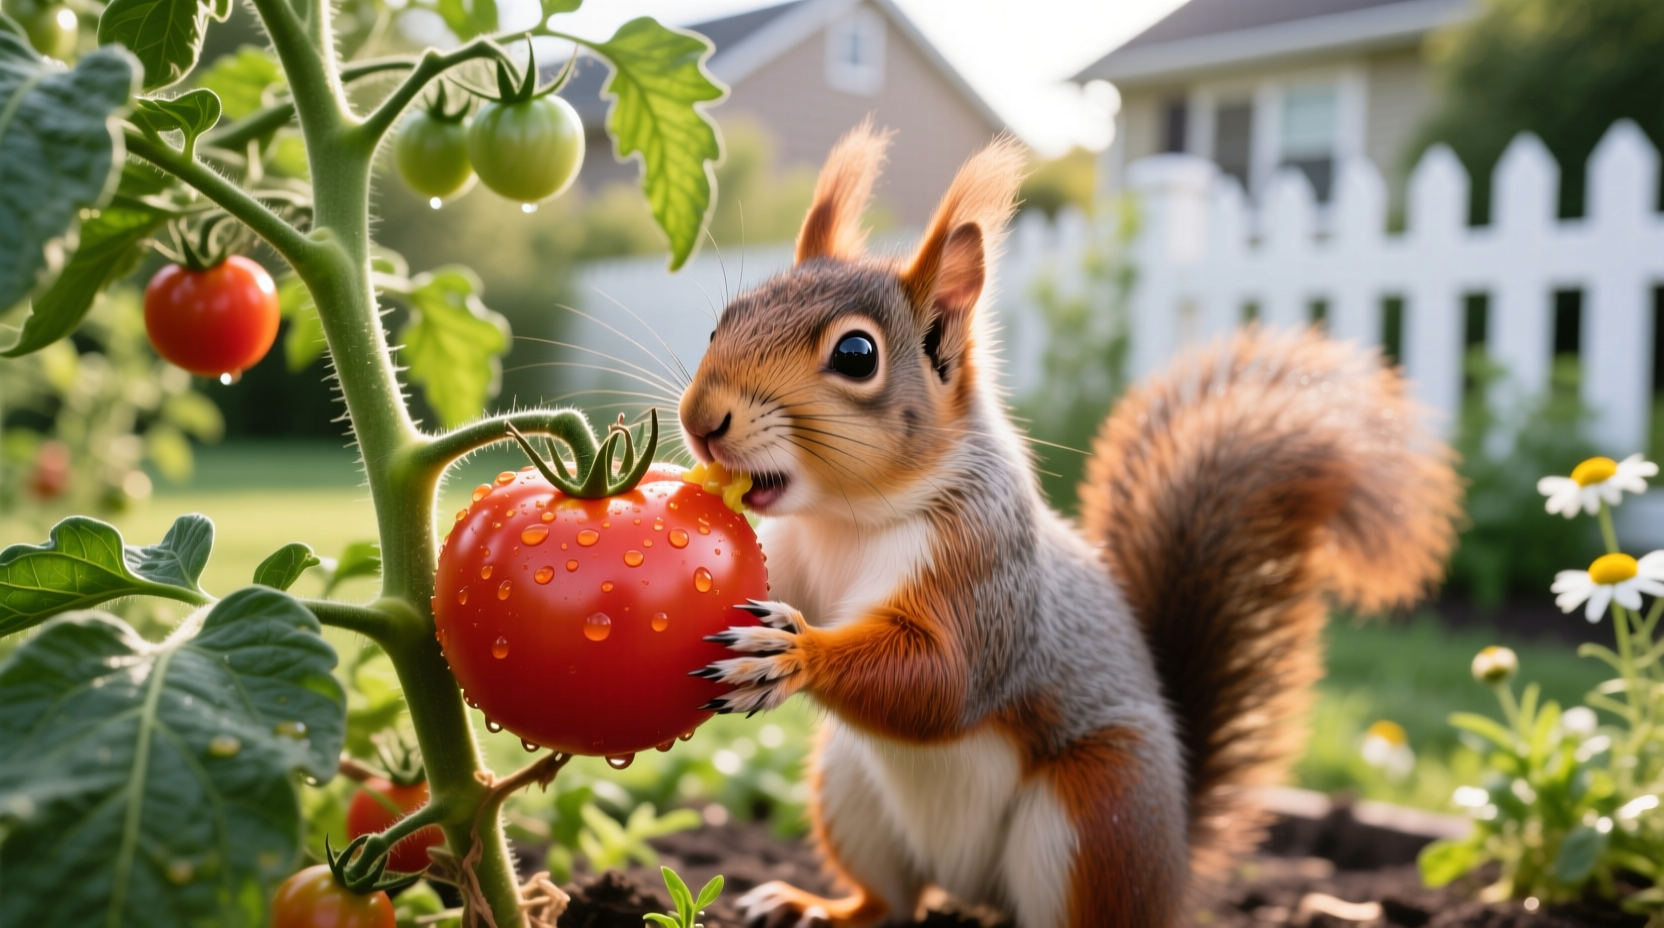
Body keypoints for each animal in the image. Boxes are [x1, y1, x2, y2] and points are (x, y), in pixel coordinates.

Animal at [676, 122, 1462, 928]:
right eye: (722, 321)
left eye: (857, 355)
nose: (701, 421)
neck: (845, 518)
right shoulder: (795, 553)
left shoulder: (985, 573)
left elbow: (943, 680)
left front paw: (789, 654)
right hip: (849, 787)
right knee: (887, 902)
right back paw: (812, 905)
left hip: (1098, 808)